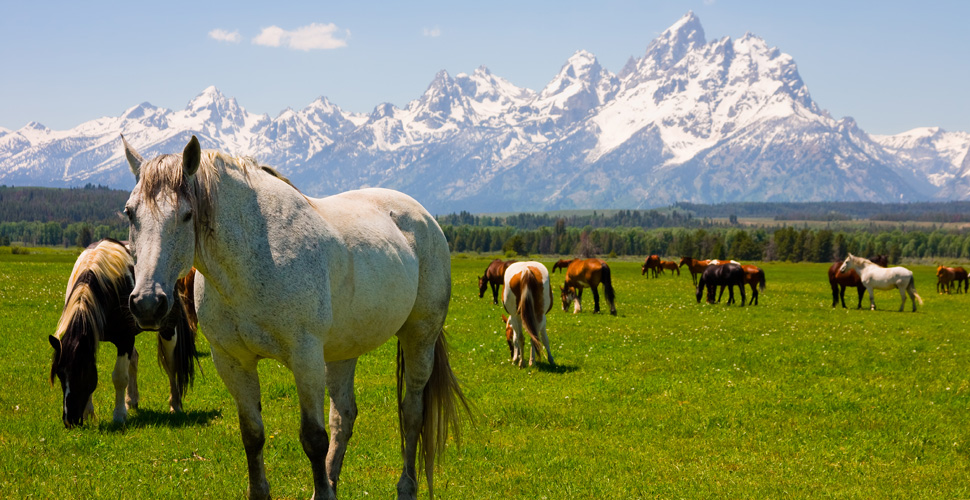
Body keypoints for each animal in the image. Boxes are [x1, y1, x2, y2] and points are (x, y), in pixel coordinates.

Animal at [47, 238, 197, 426]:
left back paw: (175, 405)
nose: (70, 420)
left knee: (171, 365)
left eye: (80, 373)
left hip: (168, 330)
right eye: (60, 374)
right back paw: (132, 400)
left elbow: (119, 377)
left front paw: (118, 416)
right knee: (135, 359)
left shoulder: (125, 339)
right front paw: (90, 413)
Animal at [121, 136, 466, 500]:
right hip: (343, 350)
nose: (147, 303)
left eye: (187, 215)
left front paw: (322, 492)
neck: (251, 261)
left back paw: (406, 487)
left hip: (420, 337)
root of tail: (424, 217)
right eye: (130, 213)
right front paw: (265, 492)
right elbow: (253, 434)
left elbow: (313, 438)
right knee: (343, 417)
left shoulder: (305, 357)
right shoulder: (232, 361)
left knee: (412, 412)